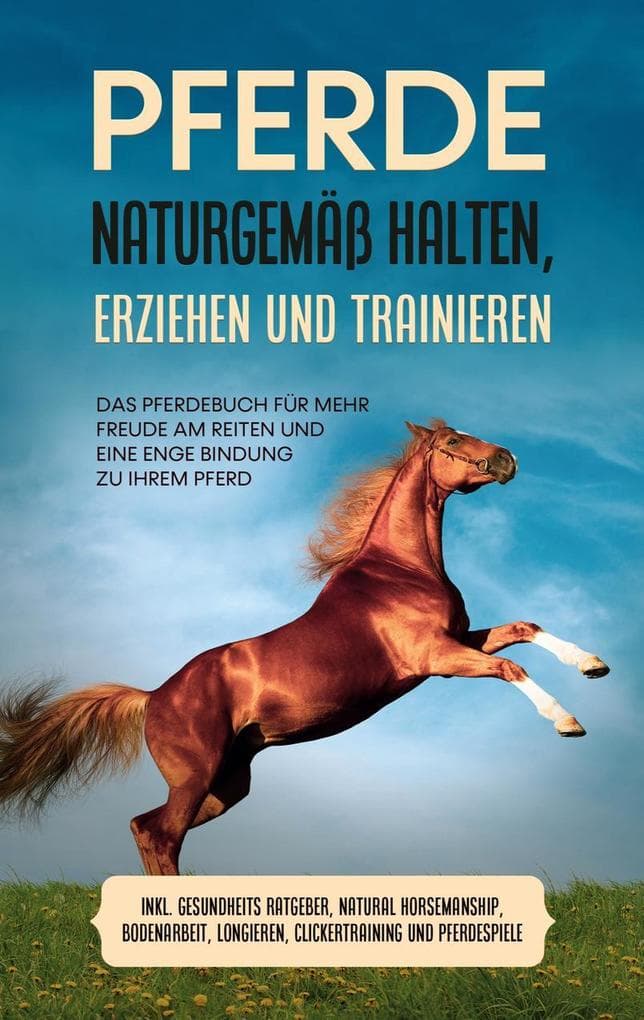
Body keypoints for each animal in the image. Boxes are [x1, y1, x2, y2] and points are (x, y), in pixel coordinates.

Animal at [0, 419, 609, 876]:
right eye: (454, 443)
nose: (508, 459)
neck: (402, 569)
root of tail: (153, 696)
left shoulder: (459, 638)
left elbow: (525, 628)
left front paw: (592, 665)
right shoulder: (436, 658)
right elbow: (508, 667)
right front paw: (569, 722)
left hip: (227, 783)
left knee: (146, 827)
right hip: (196, 776)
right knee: (158, 834)